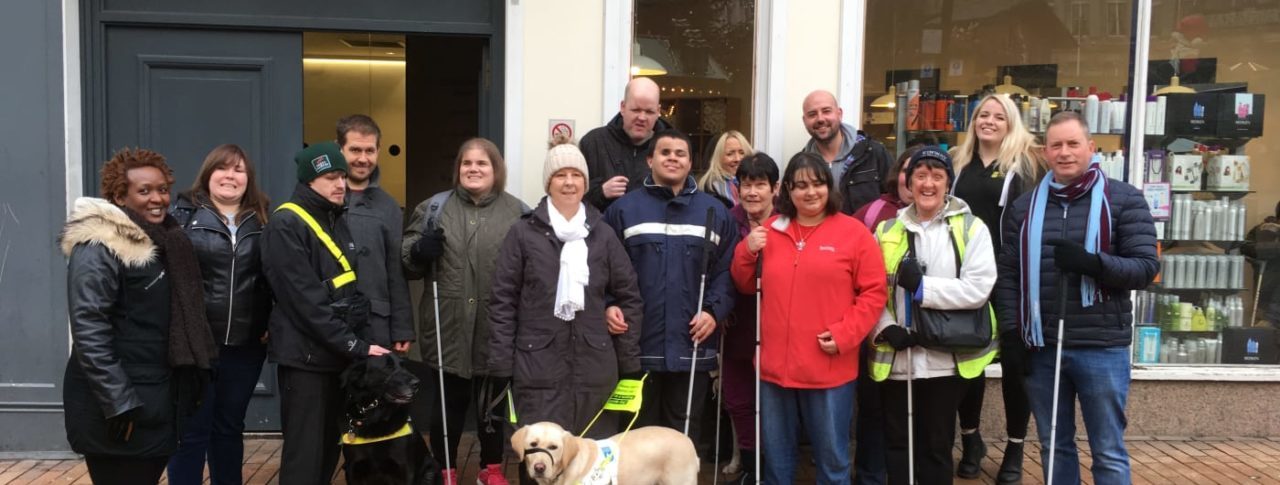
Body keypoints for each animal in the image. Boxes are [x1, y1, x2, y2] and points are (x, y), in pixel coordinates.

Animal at [340, 353, 440, 485]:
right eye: (388, 367)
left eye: (403, 366)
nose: (417, 383)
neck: (375, 419)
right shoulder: (353, 470)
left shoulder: (404, 470)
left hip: (430, 472)